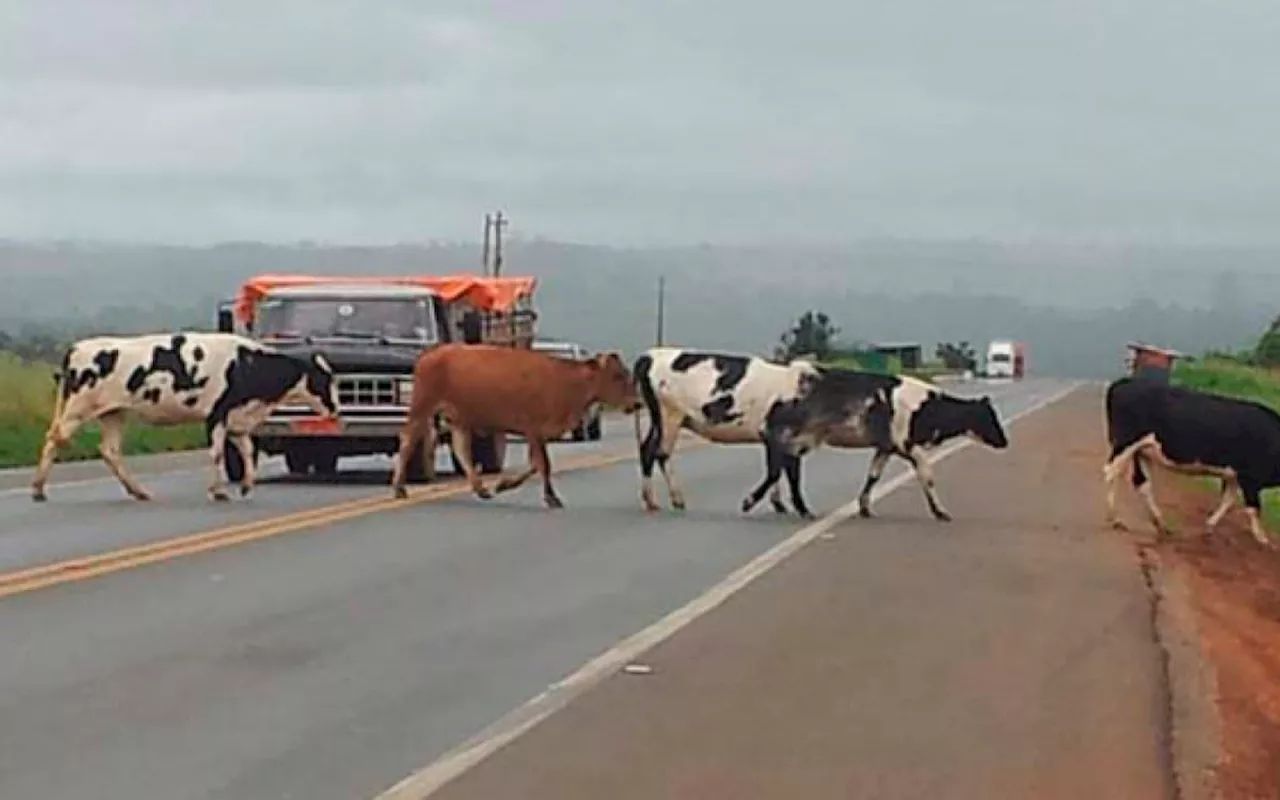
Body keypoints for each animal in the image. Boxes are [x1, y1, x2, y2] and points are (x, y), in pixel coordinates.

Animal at [30, 332, 340, 501]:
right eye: (325, 378)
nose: (337, 408)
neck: (246, 364)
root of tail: (77, 348)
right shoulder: (217, 413)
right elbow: (217, 453)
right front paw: (218, 492)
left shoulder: (237, 418)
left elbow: (247, 450)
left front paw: (247, 486)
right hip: (78, 406)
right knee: (54, 438)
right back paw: (38, 490)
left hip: (113, 413)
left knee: (110, 450)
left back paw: (139, 492)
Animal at [386, 340, 640, 504]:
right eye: (618, 375)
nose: (636, 403)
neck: (564, 380)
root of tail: (429, 354)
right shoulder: (533, 429)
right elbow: (543, 464)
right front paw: (551, 497)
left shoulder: (537, 434)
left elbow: (536, 464)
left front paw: (503, 485)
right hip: (422, 407)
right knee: (407, 440)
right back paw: (399, 488)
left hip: (459, 418)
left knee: (462, 450)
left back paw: (481, 489)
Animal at [742, 366, 1008, 522]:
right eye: (989, 416)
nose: (1004, 442)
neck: (925, 407)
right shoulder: (907, 444)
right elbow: (927, 475)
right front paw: (940, 512)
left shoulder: (886, 446)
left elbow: (873, 475)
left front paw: (864, 507)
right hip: (787, 435)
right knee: (779, 467)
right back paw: (753, 501)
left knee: (784, 467)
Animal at [1100, 373, 1280, 542]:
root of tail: (1126, 382)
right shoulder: (1250, 478)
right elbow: (1253, 508)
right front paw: (1262, 538)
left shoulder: (1233, 475)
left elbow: (1228, 501)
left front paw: (1209, 526)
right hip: (1126, 442)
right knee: (1111, 472)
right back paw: (1115, 518)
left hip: (1144, 451)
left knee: (1142, 483)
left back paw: (1160, 523)